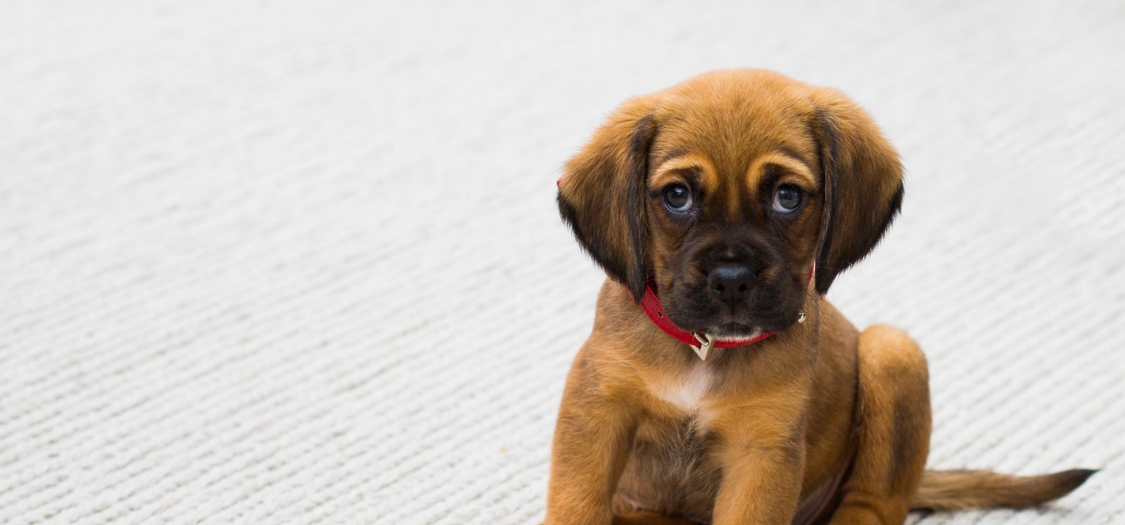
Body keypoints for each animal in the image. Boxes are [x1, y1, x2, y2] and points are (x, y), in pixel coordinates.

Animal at [549, 69, 1093, 525]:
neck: (703, 352)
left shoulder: (761, 454)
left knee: (873, 505)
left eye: (787, 197)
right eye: (677, 196)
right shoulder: (595, 416)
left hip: (893, 352)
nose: (731, 278)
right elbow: (577, 506)